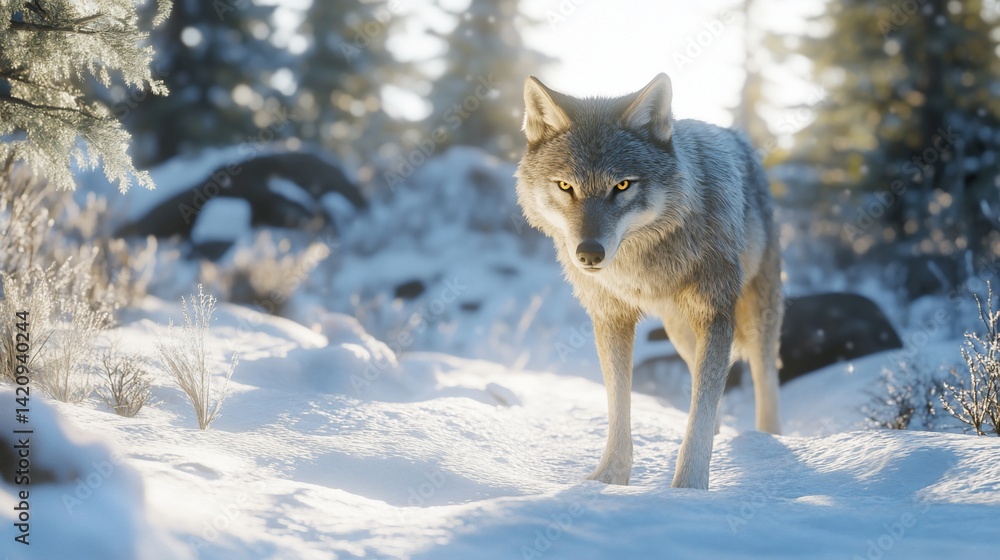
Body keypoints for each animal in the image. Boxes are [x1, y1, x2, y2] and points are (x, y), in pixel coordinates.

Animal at [515, 73, 782, 490]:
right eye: (565, 186)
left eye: (622, 186)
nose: (589, 254)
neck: (643, 268)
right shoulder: (611, 318)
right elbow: (619, 404)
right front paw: (609, 478)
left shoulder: (716, 314)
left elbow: (702, 408)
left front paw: (688, 488)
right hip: (680, 334)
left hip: (755, 317)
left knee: (764, 375)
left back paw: (770, 442)